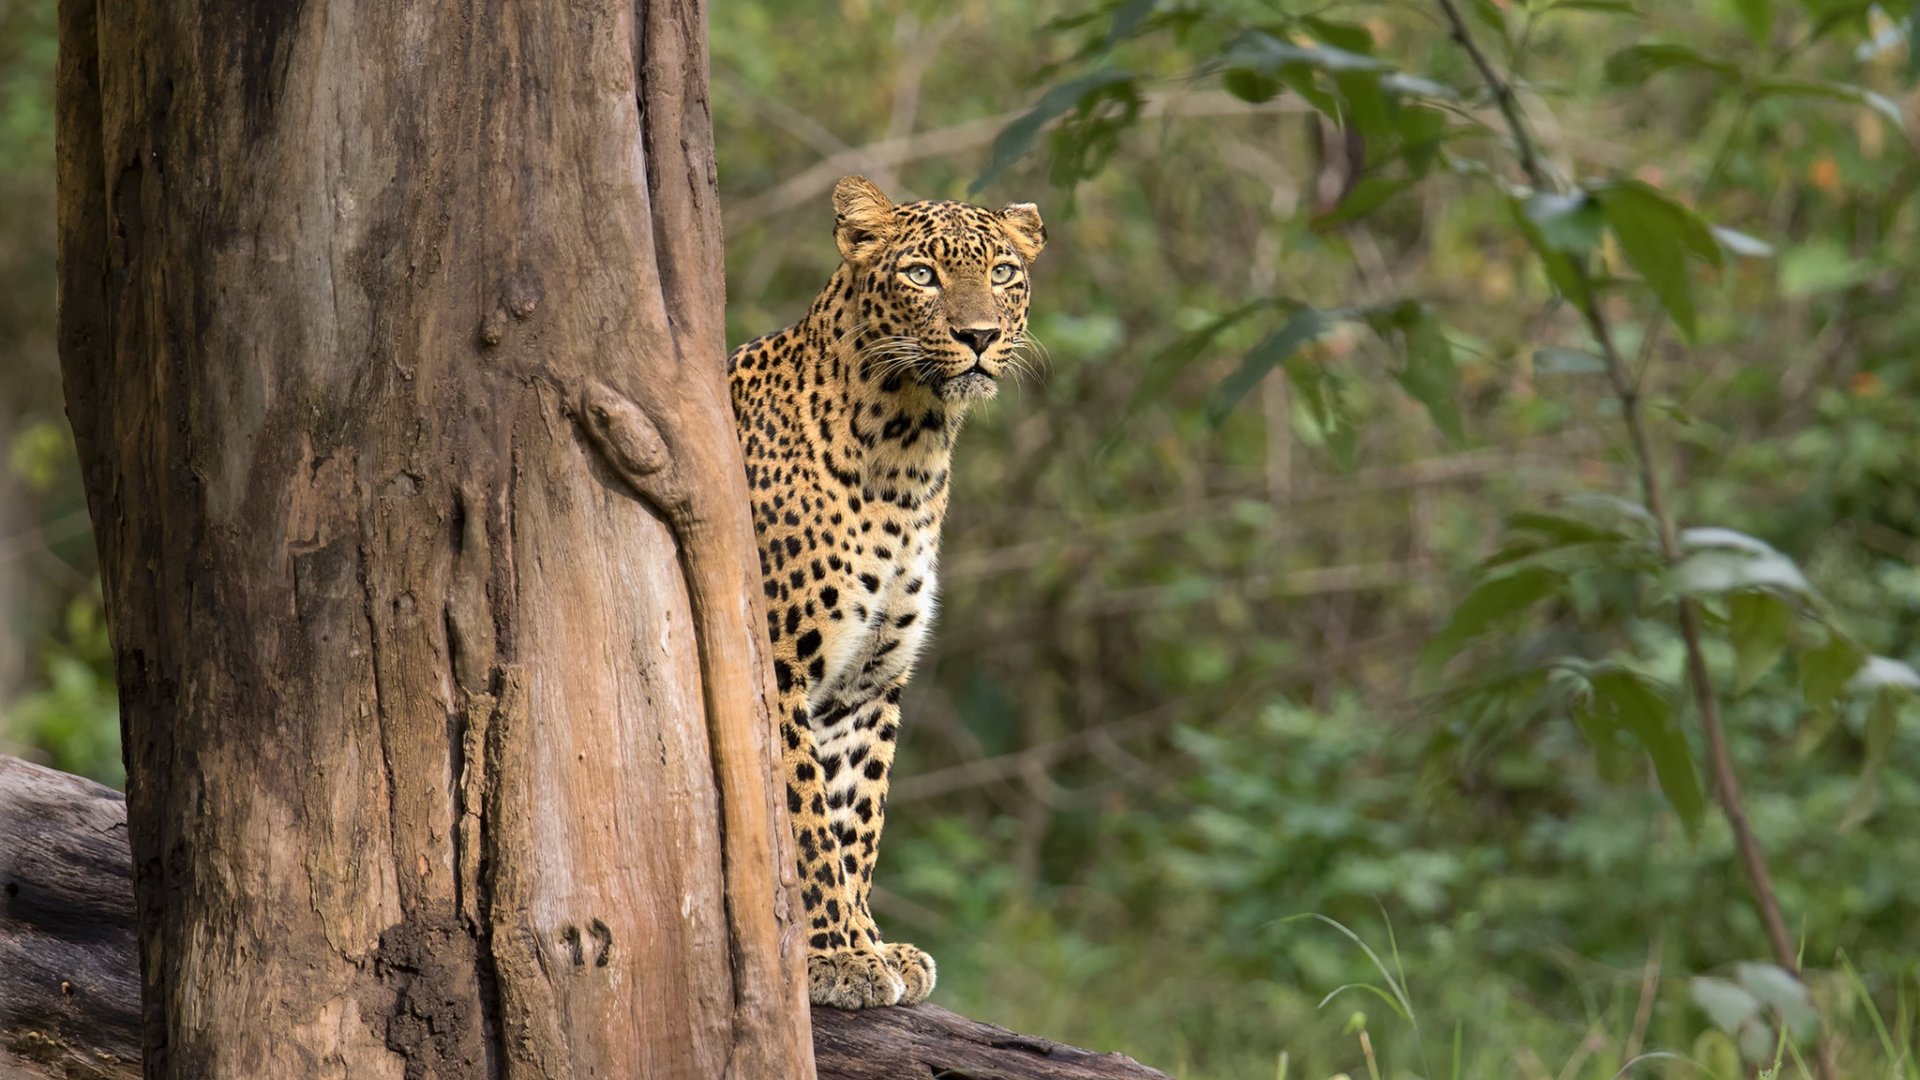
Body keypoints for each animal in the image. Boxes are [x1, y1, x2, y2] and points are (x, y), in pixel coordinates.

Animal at [727, 175, 1047, 1009]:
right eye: (921, 275)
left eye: (1003, 272)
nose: (978, 335)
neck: (910, 446)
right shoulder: (778, 667)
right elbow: (804, 816)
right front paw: (835, 954)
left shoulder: (867, 683)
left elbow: (854, 817)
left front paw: (872, 943)